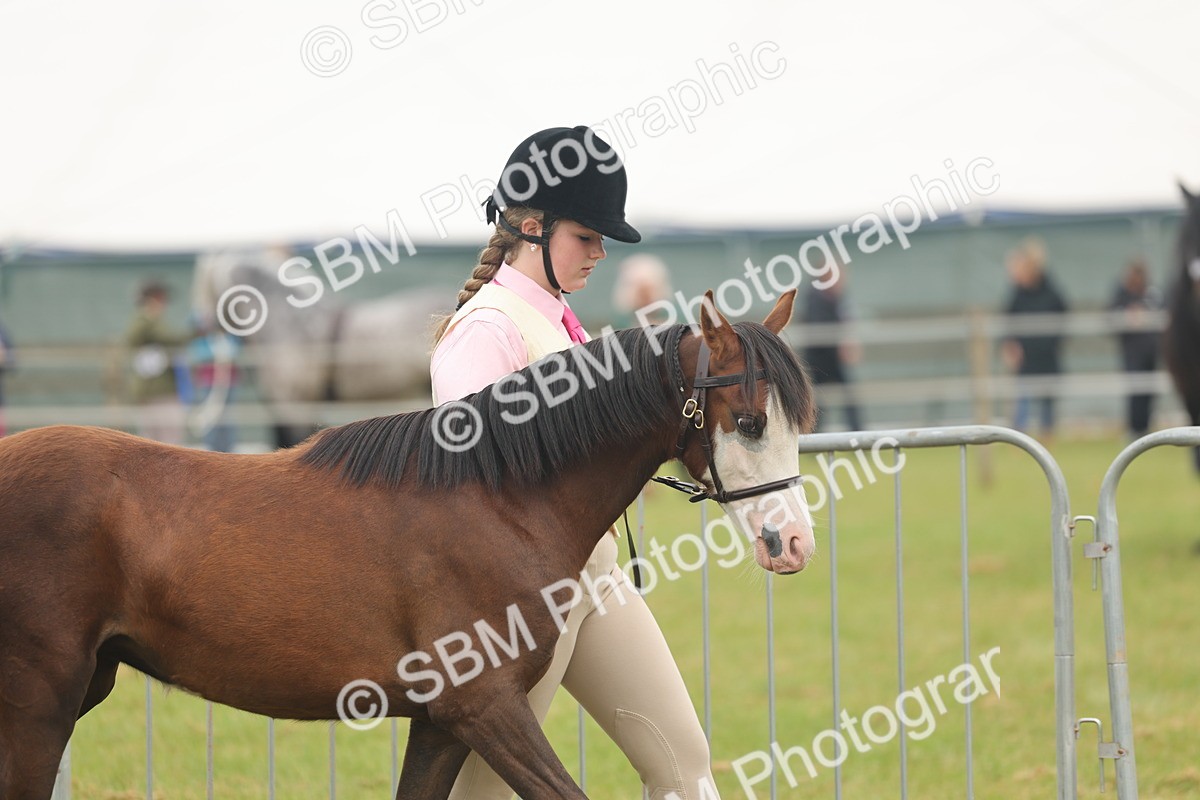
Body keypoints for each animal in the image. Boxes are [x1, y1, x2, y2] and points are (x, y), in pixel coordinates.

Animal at [0, 290, 817, 799]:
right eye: (749, 421)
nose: (792, 543)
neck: (500, 500)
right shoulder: (484, 709)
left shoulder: (440, 724)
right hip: (41, 700)